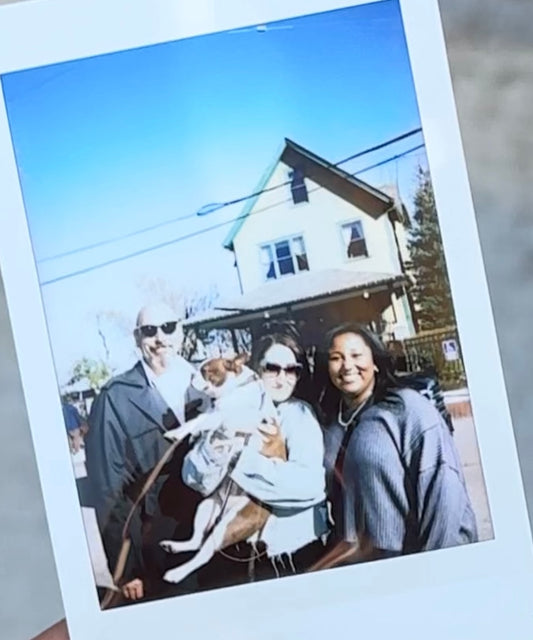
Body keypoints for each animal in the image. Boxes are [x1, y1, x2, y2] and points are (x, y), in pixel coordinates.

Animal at [159, 356, 278, 584]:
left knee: (204, 554)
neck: (236, 388)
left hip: (229, 525)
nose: (192, 374)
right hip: (207, 506)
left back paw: (176, 574)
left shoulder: (227, 419)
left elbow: (203, 420)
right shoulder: (216, 414)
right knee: (197, 541)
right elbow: (198, 419)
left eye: (205, 370)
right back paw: (174, 546)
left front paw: (184, 432)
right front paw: (182, 432)